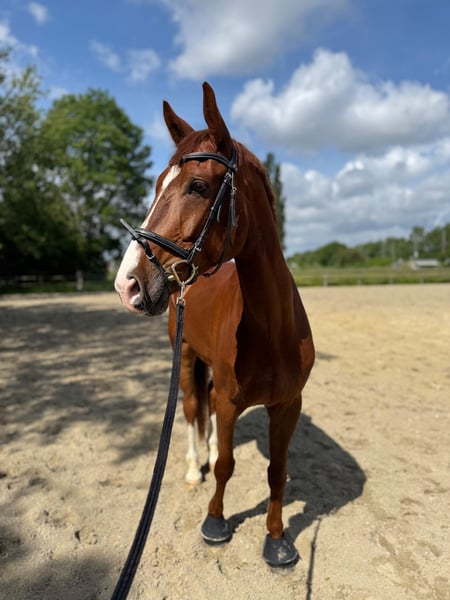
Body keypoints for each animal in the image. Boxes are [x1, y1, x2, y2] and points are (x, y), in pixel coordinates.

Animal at [114, 82, 315, 567]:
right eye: (156, 185)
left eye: (198, 186)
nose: (127, 283)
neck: (272, 331)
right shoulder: (228, 402)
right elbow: (226, 464)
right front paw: (215, 521)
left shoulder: (288, 405)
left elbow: (277, 470)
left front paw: (277, 539)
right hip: (185, 357)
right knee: (190, 407)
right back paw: (193, 466)